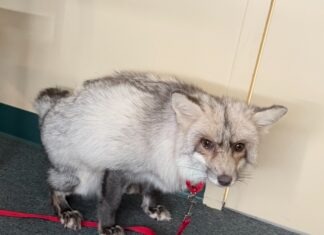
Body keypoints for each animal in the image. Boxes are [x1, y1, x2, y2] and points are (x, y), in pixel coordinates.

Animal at [33, 71, 286, 235]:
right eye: (206, 143)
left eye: (239, 147)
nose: (225, 181)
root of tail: (53, 106)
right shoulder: (118, 167)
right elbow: (110, 203)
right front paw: (107, 227)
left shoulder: (156, 167)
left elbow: (152, 190)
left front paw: (151, 207)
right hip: (83, 178)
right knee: (53, 185)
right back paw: (66, 210)